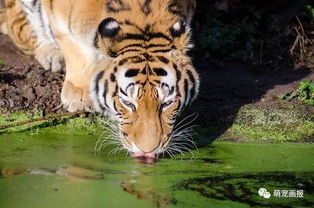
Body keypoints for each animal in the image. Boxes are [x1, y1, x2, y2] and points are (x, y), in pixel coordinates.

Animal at [1, 0, 200, 158]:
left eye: (167, 103)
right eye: (127, 103)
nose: (147, 151)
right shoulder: (60, 18)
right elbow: (73, 47)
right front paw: (79, 94)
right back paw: (52, 54)